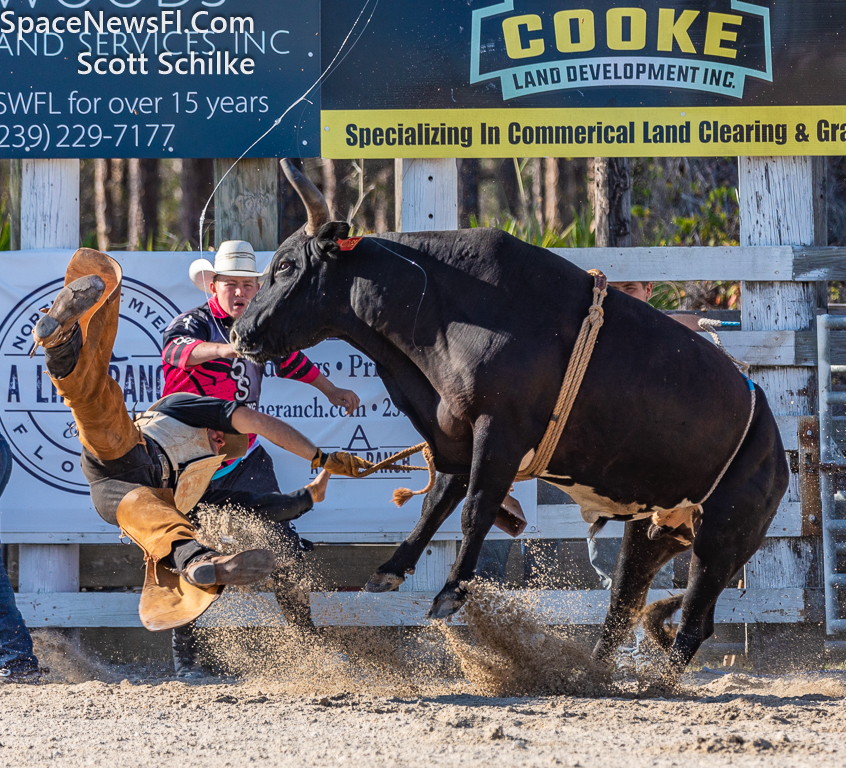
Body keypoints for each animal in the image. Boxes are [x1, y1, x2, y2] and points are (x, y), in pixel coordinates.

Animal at [232, 162, 788, 672]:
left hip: (723, 537)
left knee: (695, 620)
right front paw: (390, 570)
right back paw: (593, 675)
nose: (239, 331)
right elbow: (436, 501)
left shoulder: (499, 431)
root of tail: (776, 449)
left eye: (285, 267)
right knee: (622, 605)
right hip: (654, 529)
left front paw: (451, 593)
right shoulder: (454, 433)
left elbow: (475, 507)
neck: (441, 307)